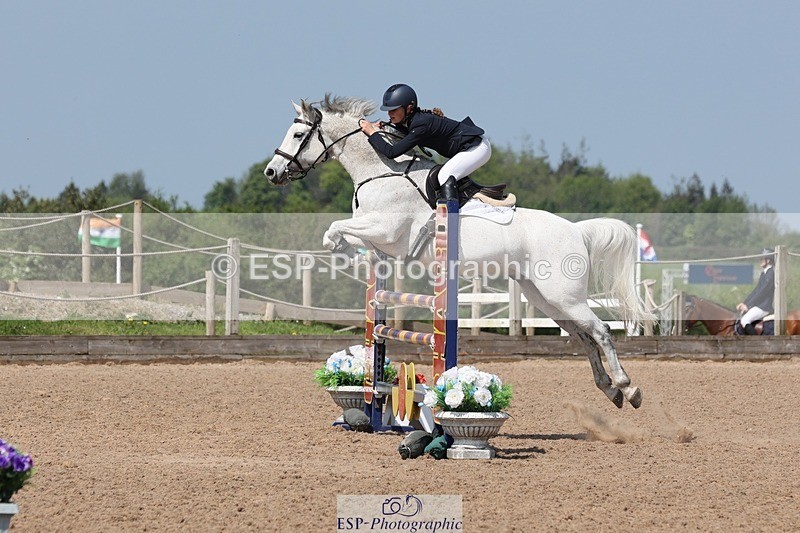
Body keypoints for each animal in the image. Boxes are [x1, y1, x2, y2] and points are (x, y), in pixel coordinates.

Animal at [264, 95, 655, 409]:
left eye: (297, 135)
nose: (271, 172)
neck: (380, 172)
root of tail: (575, 230)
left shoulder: (385, 230)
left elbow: (334, 229)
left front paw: (344, 248)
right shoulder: (379, 237)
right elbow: (344, 239)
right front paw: (352, 256)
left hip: (564, 295)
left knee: (601, 331)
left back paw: (628, 388)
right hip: (546, 298)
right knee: (583, 337)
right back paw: (610, 390)